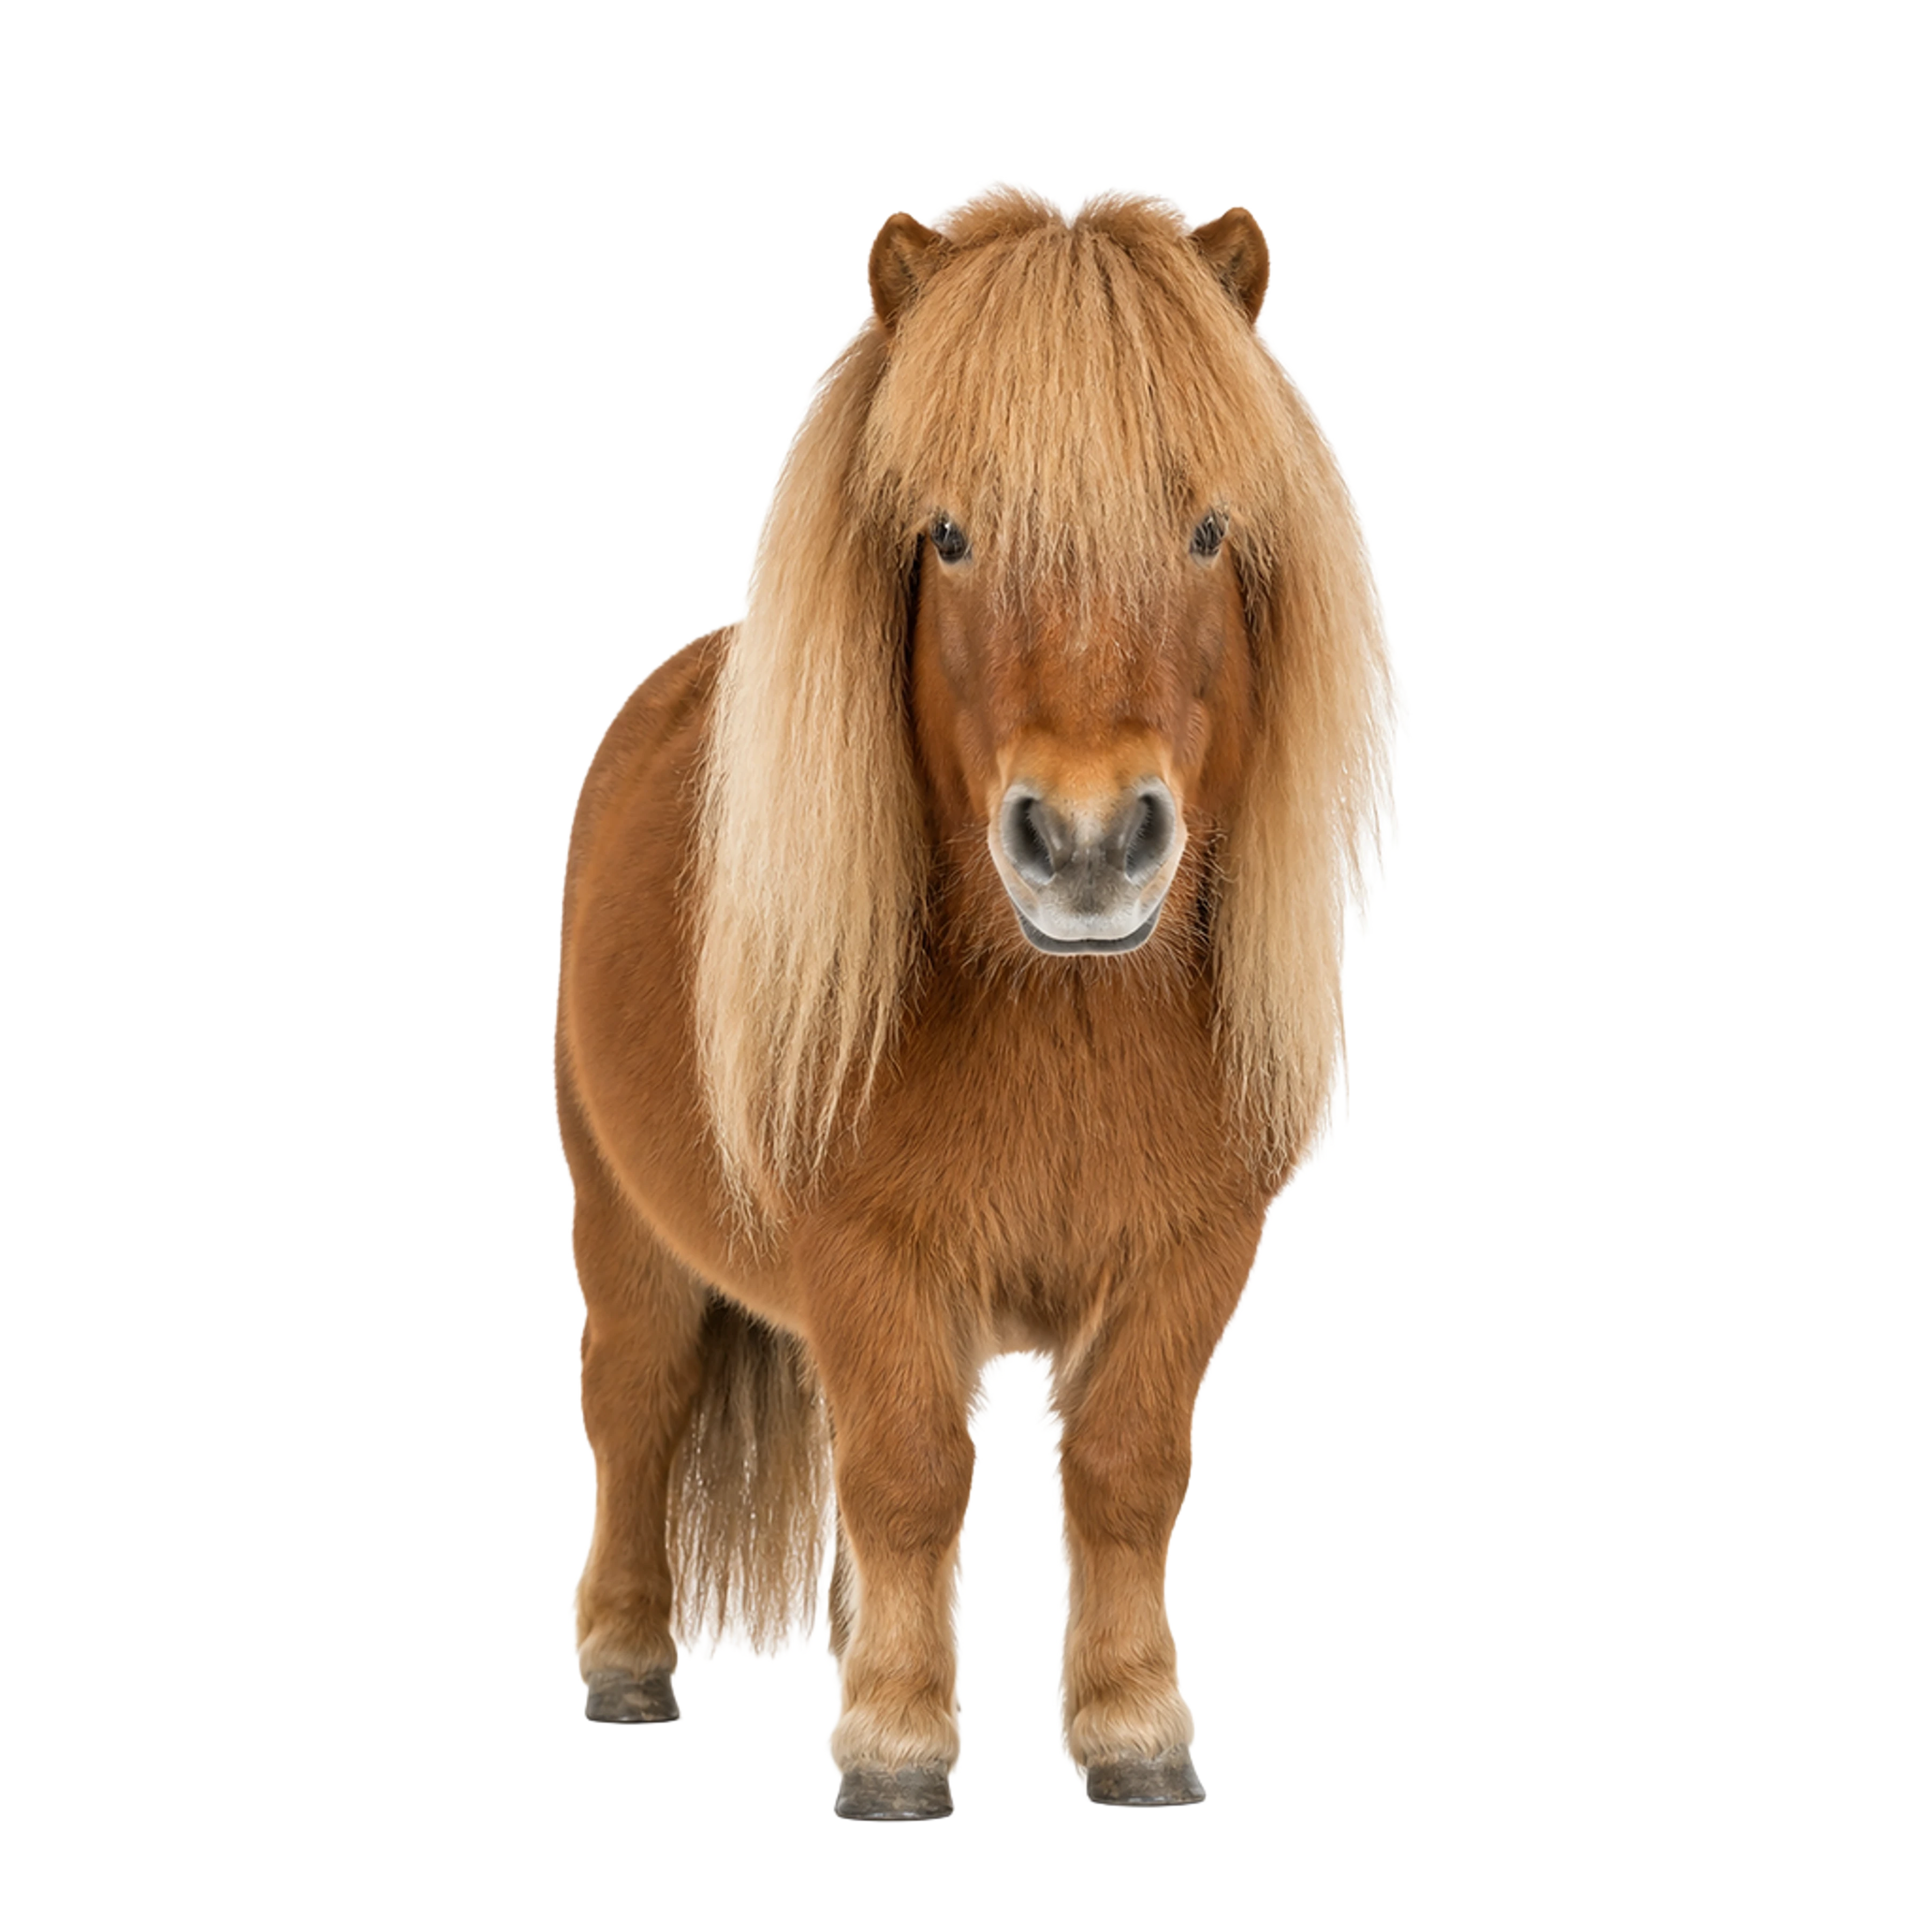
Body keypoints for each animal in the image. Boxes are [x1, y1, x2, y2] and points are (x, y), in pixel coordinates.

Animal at [556, 182, 1402, 1819]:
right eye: (948, 535)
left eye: (1207, 530)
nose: (1085, 842)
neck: (1059, 1012)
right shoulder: (866, 1259)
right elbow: (906, 1477)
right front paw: (896, 1748)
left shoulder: (1192, 1254)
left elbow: (1128, 1475)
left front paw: (1134, 1733)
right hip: (624, 1227)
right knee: (634, 1406)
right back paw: (625, 1669)